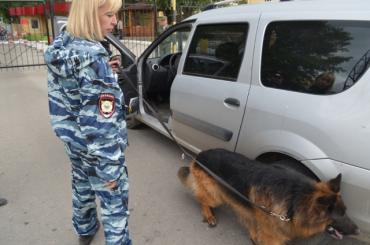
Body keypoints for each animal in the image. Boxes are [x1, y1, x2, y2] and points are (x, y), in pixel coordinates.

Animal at [178, 148, 354, 244]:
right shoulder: (272, 236)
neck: (295, 198)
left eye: (346, 212)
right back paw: (209, 215)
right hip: (216, 195)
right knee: (202, 198)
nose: (357, 230)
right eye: (339, 216)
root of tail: (200, 155)